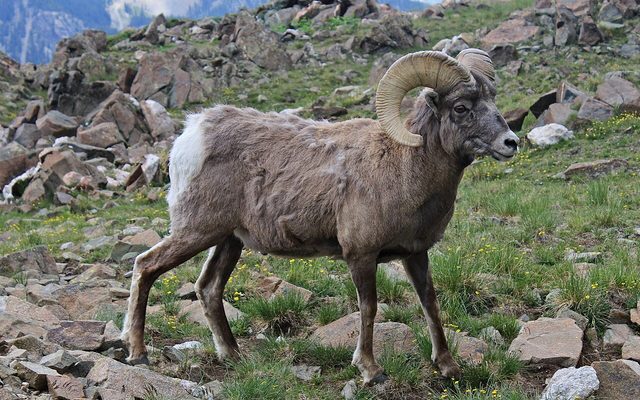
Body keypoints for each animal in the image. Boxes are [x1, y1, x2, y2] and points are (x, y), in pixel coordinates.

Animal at [121, 48, 519, 384]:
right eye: (461, 108)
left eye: (491, 99)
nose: (510, 143)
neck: (403, 168)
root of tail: (192, 135)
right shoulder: (360, 255)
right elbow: (369, 308)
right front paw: (371, 371)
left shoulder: (416, 254)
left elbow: (430, 304)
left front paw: (449, 367)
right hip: (195, 232)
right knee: (146, 266)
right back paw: (138, 354)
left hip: (229, 241)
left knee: (208, 288)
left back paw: (233, 356)